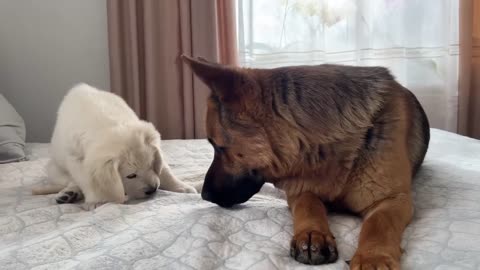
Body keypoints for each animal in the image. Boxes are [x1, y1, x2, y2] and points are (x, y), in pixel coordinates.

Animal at [32, 83, 196, 210]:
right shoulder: (75, 159)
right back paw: (69, 194)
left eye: (151, 165)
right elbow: (86, 180)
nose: (153, 189)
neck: (107, 123)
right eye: (131, 175)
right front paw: (98, 200)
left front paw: (182, 187)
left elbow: (165, 171)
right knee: (71, 181)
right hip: (53, 170)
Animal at [182, 55, 430, 270]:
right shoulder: (299, 191)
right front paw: (312, 234)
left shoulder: (394, 200)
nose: (204, 195)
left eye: (218, 146)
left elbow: (379, 223)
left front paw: (373, 257)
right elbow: (308, 203)